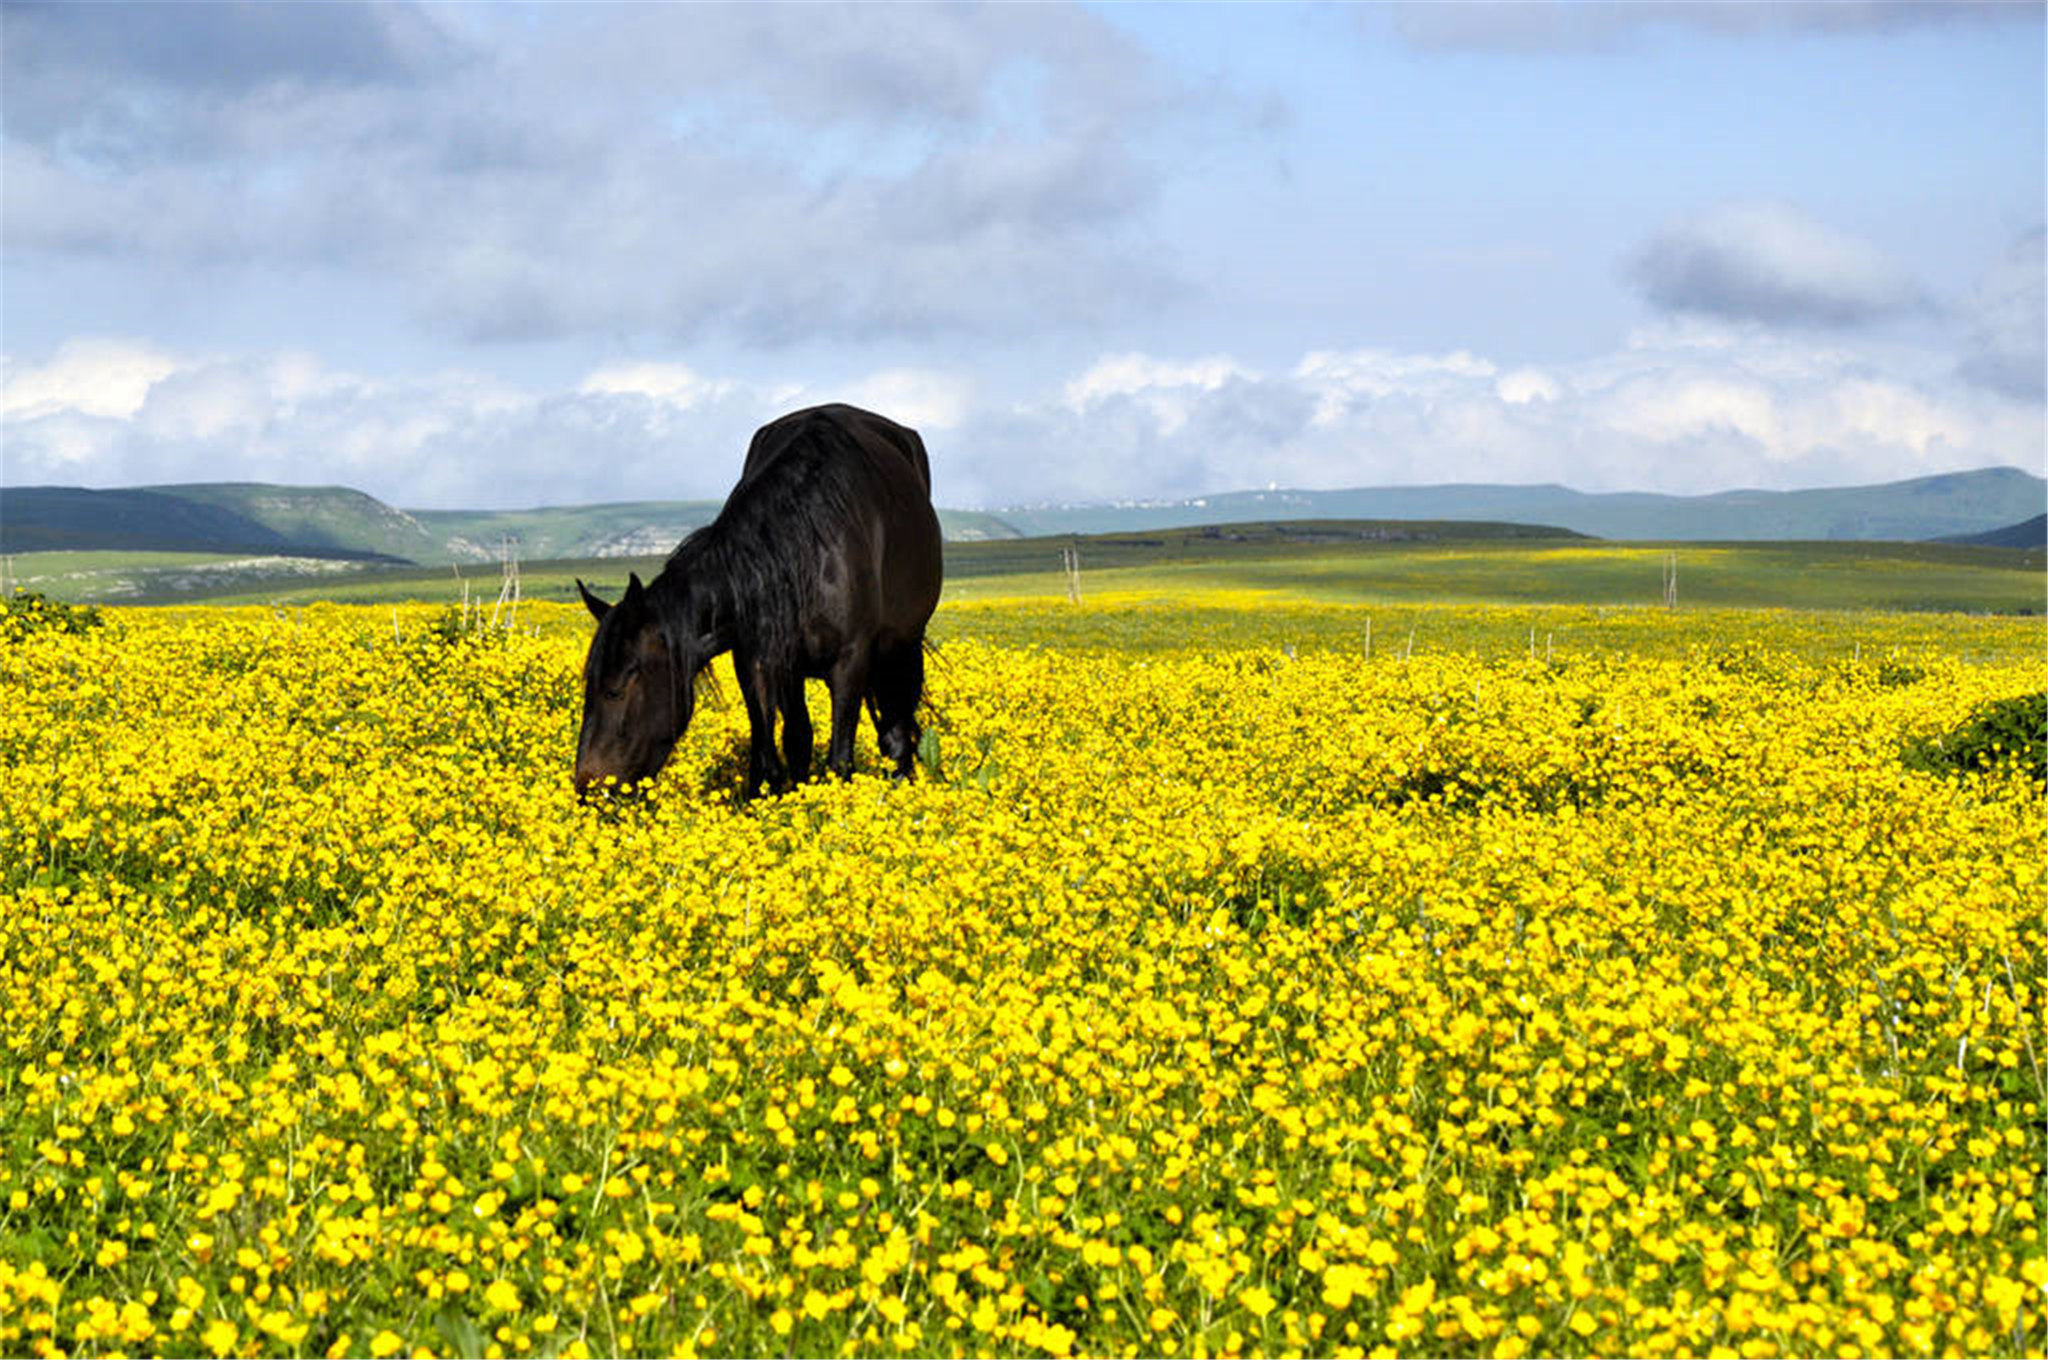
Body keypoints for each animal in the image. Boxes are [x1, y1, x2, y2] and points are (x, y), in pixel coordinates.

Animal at [577, 403, 942, 798]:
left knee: (897, 735)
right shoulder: (762, 663)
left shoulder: (850, 663)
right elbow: (779, 749)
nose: (586, 786)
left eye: (623, 683)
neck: (805, 550)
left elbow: (840, 760)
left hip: (903, 649)